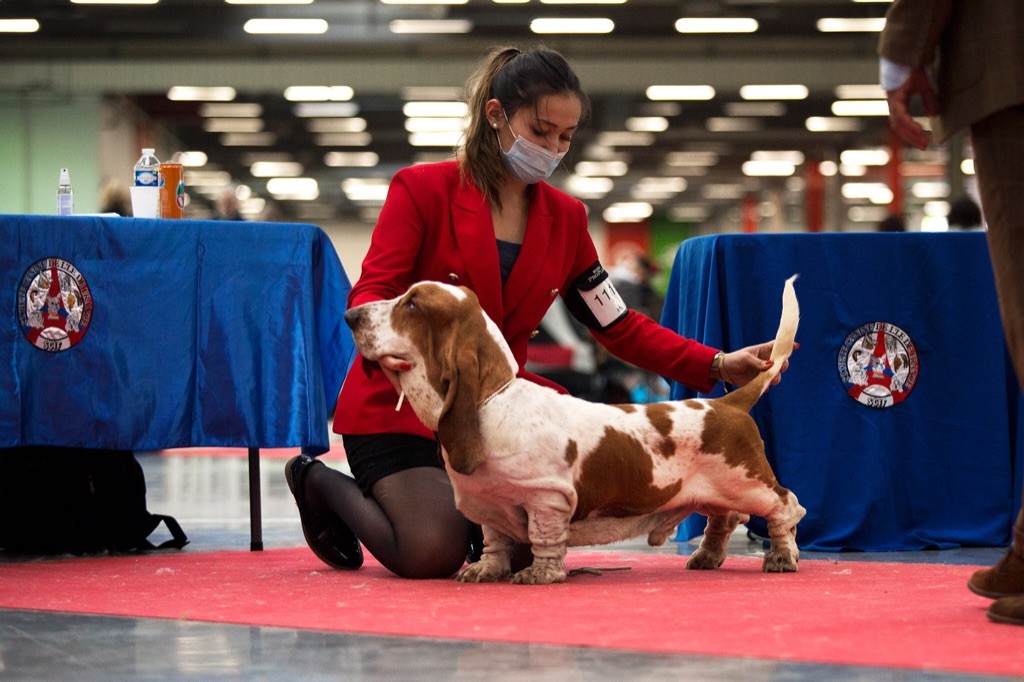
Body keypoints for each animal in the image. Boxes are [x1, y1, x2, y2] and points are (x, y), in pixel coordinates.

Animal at [348, 274, 802, 581]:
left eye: (412, 305)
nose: (351, 314)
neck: (493, 402)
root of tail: (726, 403)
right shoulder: (489, 507)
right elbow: (495, 542)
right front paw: (484, 570)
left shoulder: (547, 499)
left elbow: (545, 540)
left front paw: (539, 575)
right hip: (718, 490)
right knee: (724, 519)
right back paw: (707, 557)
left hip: (748, 483)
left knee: (785, 506)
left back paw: (782, 557)